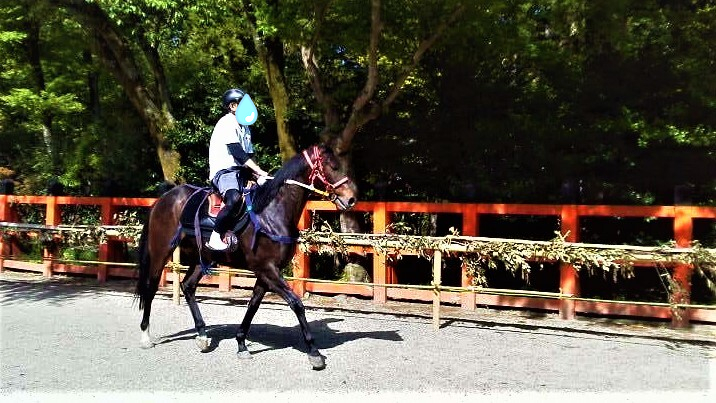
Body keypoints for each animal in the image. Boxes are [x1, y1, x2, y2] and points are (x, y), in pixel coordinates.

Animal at [133, 145, 356, 372]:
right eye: (333, 166)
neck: (271, 213)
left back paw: (202, 335)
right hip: (160, 252)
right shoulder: (268, 269)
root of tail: (165, 198)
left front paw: (241, 344)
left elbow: (253, 305)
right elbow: (296, 304)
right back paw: (145, 336)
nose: (351, 199)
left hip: (201, 258)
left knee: (188, 286)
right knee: (151, 288)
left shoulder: (265, 273)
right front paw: (314, 353)